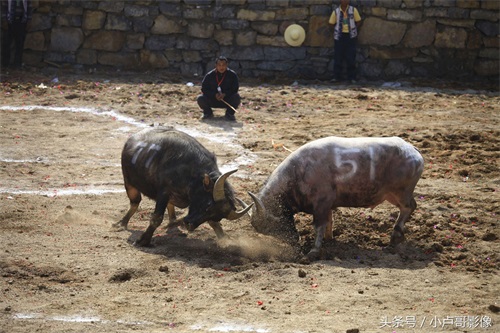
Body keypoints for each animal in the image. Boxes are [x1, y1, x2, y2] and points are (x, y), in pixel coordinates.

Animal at [114, 126, 252, 245]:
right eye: (208, 205)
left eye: (217, 216)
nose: (189, 225)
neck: (191, 174)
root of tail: (130, 140)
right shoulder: (163, 192)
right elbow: (156, 218)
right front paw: (143, 240)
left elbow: (213, 224)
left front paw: (224, 238)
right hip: (129, 182)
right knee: (135, 203)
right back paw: (121, 224)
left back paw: (173, 222)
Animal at [248, 136, 424, 260]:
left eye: (270, 225)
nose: (294, 241)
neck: (300, 171)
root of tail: (413, 150)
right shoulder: (327, 206)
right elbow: (329, 222)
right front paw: (329, 240)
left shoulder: (320, 205)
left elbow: (319, 225)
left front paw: (313, 251)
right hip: (393, 195)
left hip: (400, 193)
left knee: (408, 207)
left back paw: (394, 238)